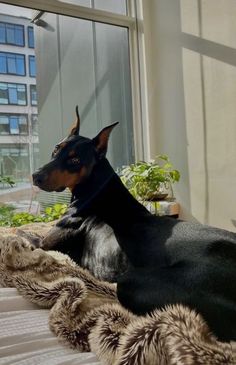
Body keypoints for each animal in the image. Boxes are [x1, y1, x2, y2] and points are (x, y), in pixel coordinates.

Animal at [32, 107, 236, 342]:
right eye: (56, 149)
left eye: (74, 160)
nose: (36, 175)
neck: (96, 188)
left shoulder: (45, 244)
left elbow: (24, 236)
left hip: (133, 283)